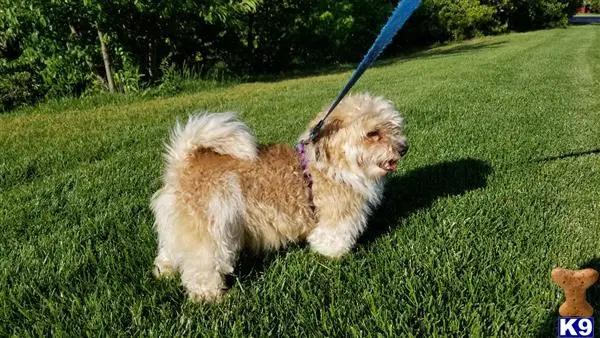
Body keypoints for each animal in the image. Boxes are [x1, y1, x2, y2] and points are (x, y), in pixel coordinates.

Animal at [152, 92, 410, 302]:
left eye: (395, 128)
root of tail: (183, 162)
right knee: (201, 267)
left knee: (169, 252)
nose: (403, 148)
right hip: (210, 233)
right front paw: (335, 257)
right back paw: (211, 296)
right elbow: (332, 239)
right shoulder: (338, 217)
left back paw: (163, 272)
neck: (333, 165)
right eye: (373, 133)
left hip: (180, 228)